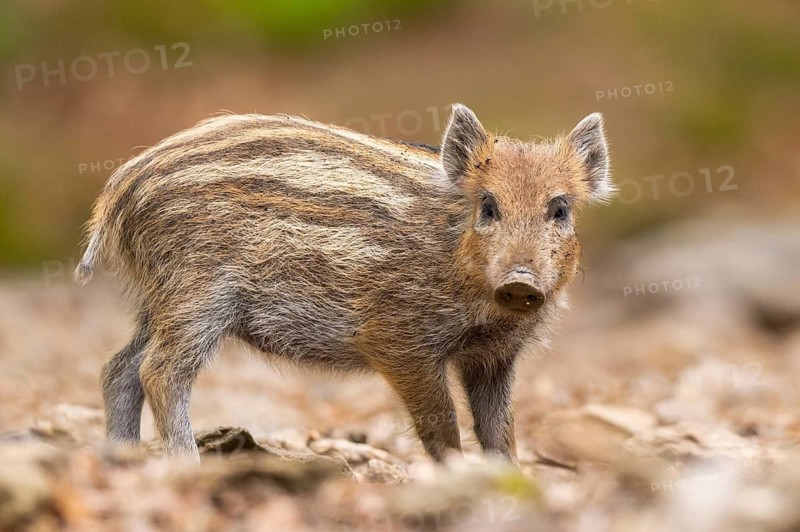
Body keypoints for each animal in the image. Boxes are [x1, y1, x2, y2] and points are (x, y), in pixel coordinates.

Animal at [76, 104, 613, 463]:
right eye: (488, 206)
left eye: (560, 209)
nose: (520, 281)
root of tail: (120, 187)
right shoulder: (397, 340)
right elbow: (441, 426)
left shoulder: (496, 356)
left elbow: (500, 432)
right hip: (197, 292)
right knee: (159, 371)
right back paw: (188, 464)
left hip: (159, 298)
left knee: (118, 368)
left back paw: (123, 460)